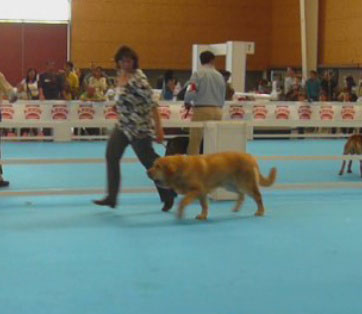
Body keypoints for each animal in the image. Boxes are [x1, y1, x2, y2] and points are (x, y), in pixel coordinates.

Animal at [147, 151, 278, 220]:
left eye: (158, 166)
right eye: (153, 164)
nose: (147, 171)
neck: (181, 169)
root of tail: (251, 157)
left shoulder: (197, 190)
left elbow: (183, 202)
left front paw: (180, 213)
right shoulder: (202, 193)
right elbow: (204, 205)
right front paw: (203, 215)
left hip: (246, 184)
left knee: (257, 196)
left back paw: (260, 211)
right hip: (230, 185)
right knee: (241, 195)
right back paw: (236, 209)